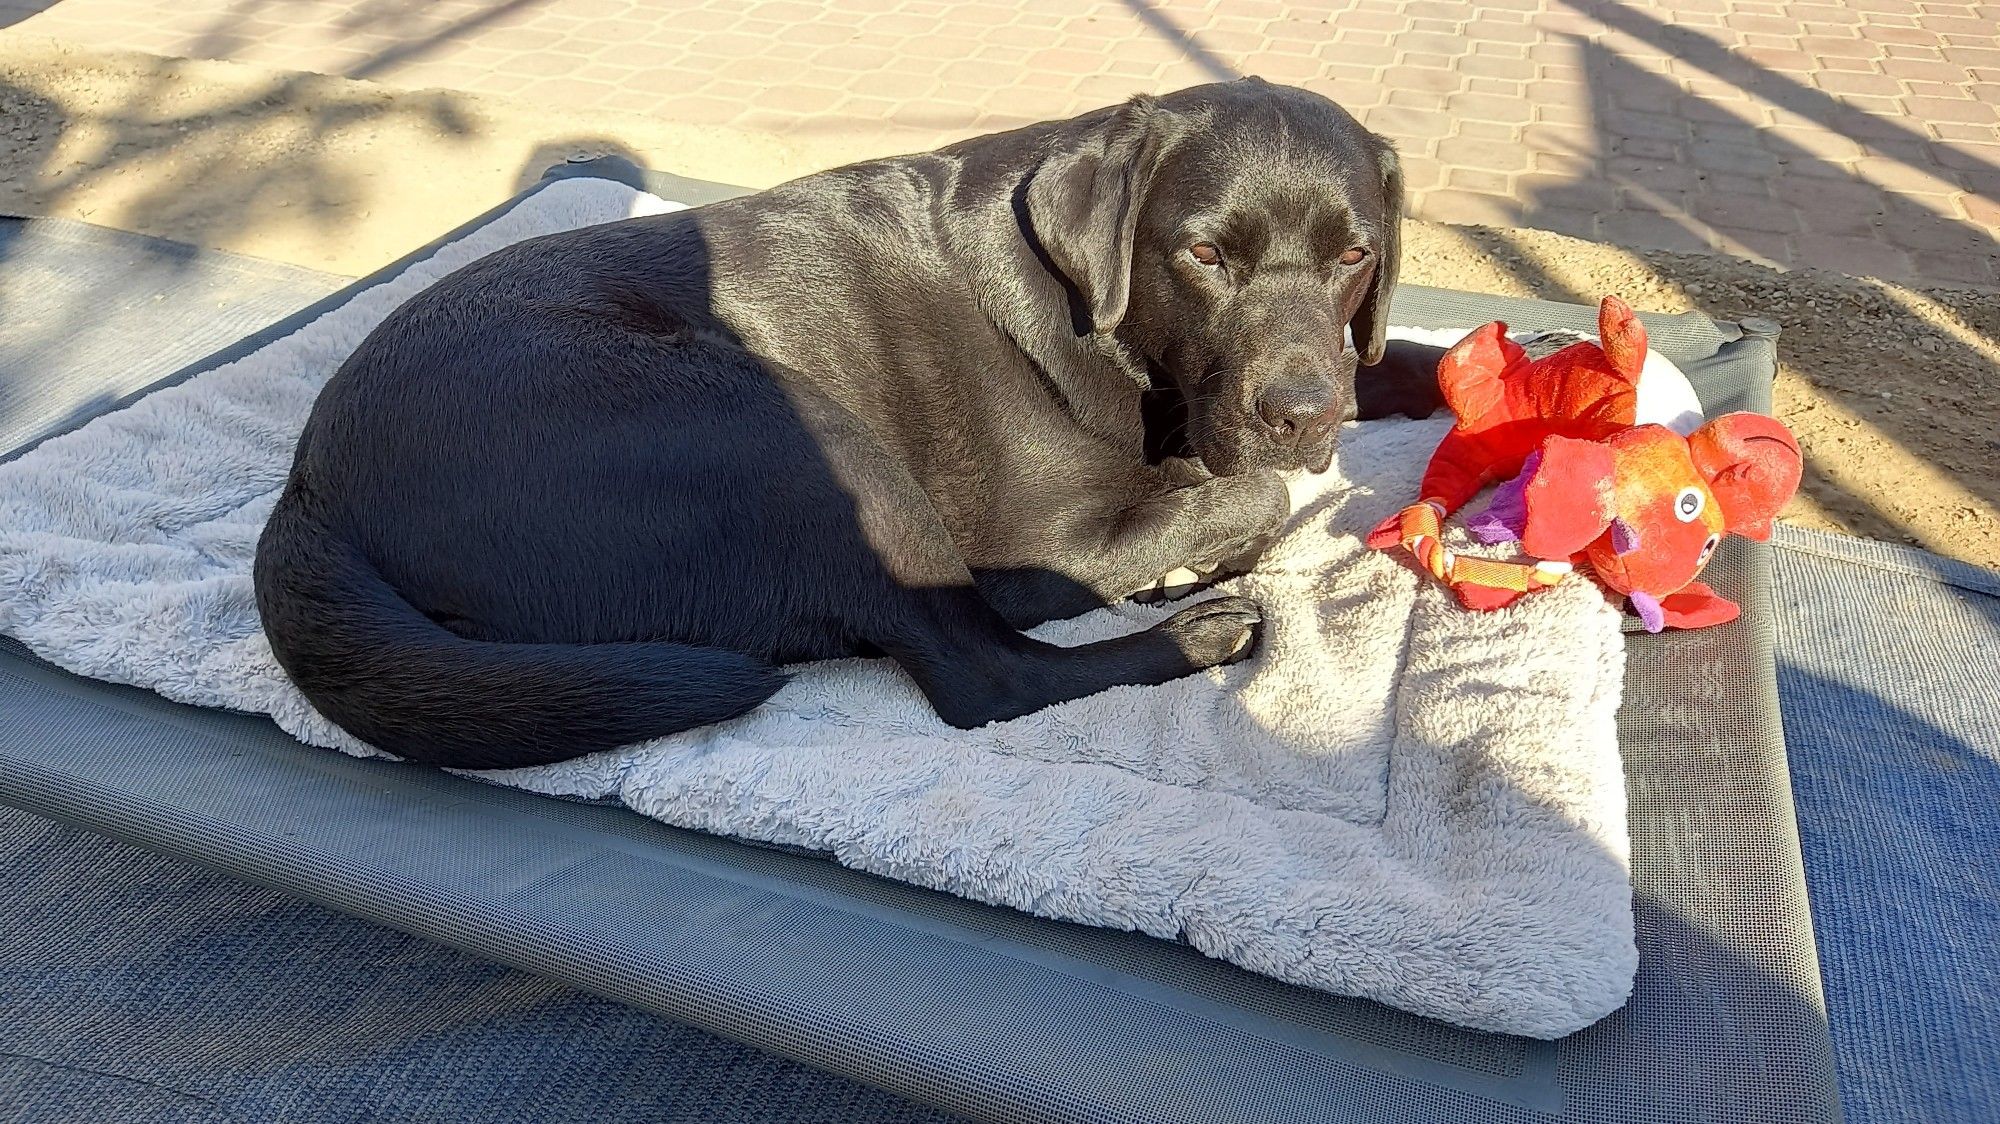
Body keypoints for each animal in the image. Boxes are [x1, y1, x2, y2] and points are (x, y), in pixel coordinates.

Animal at [258, 74, 1448, 764]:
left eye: (1355, 255)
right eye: (1202, 253)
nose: (1301, 414)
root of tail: (309, 486)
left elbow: (1388, 363)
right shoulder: (1057, 524)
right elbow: (1240, 494)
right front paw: (1192, 547)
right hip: (789, 437)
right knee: (984, 673)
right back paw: (1198, 625)